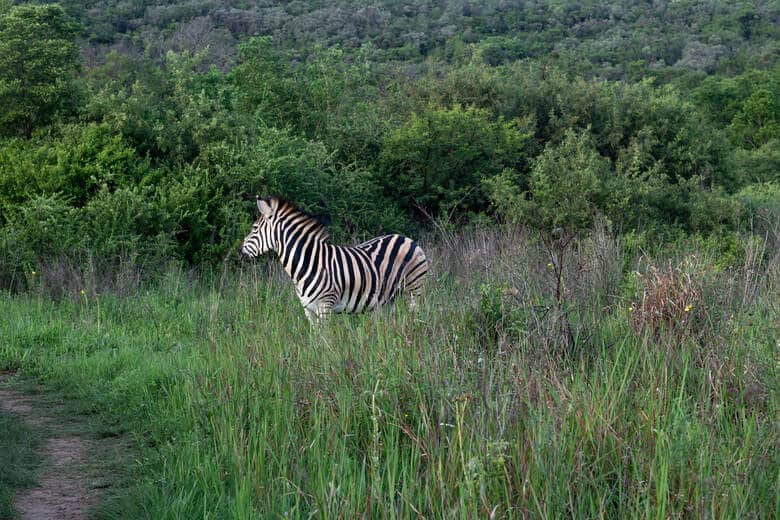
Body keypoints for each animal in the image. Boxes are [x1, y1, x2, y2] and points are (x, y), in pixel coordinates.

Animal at [241, 197, 430, 322]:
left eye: (254, 228)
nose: (239, 252)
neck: (307, 263)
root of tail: (408, 239)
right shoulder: (308, 309)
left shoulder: (326, 305)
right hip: (389, 297)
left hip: (414, 290)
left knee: (416, 319)